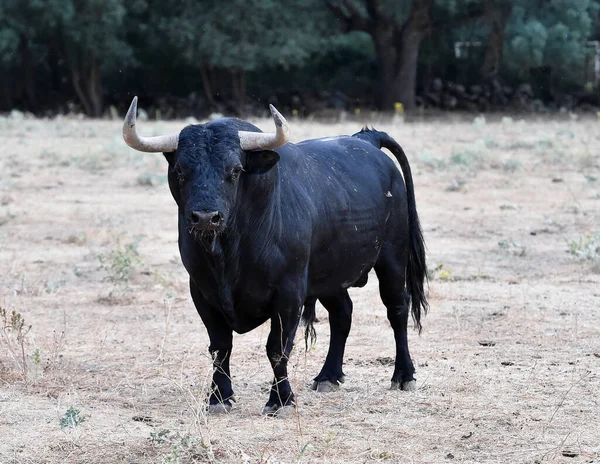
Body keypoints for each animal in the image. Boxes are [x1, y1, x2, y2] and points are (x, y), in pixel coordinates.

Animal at [124, 103, 428, 416]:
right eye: (180, 170)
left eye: (235, 170)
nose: (206, 217)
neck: (229, 254)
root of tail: (367, 140)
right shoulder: (201, 291)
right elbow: (220, 346)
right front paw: (219, 398)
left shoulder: (289, 293)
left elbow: (277, 347)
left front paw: (280, 400)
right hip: (330, 275)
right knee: (342, 314)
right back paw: (328, 376)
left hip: (393, 258)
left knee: (397, 308)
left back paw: (403, 375)